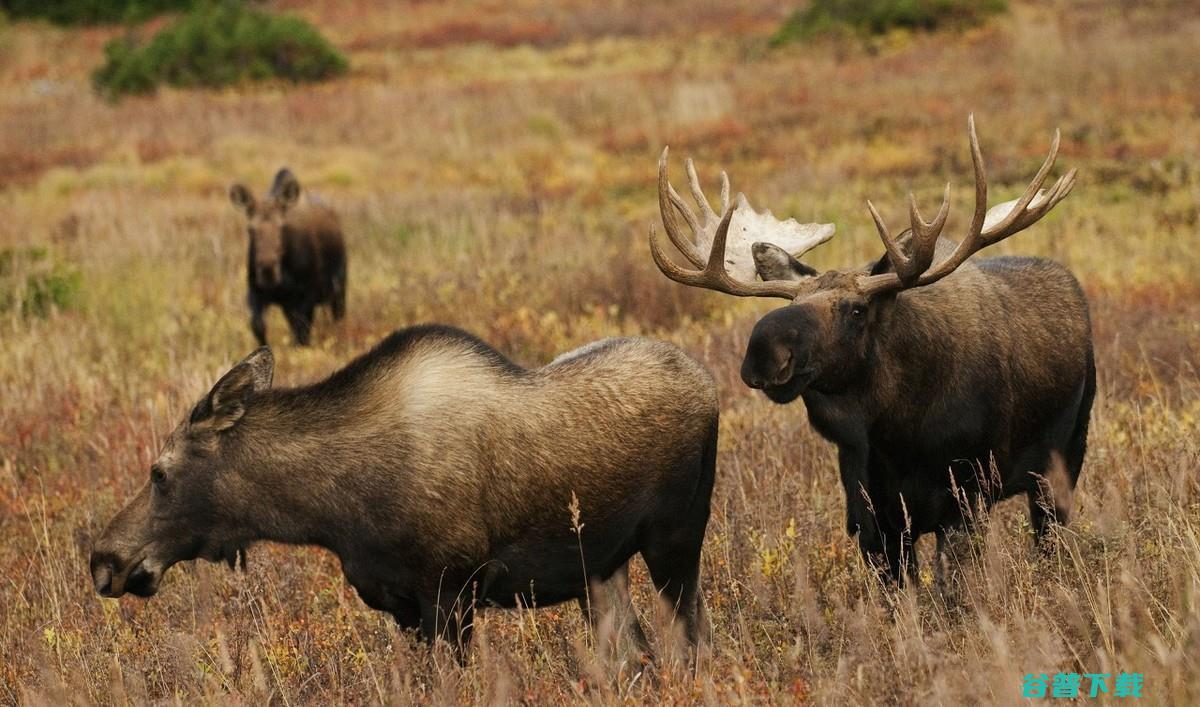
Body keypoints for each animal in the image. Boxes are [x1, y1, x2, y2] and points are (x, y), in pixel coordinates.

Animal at [91, 326, 720, 657]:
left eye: (159, 472)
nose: (104, 559)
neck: (332, 512)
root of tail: (708, 383)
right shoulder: (402, 605)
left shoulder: (452, 592)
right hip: (603, 567)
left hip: (676, 541)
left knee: (690, 643)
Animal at [229, 170, 345, 348]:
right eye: (250, 229)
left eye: (282, 227)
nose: (267, 268)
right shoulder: (256, 293)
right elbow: (258, 326)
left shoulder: (308, 294)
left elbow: (302, 333)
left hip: (339, 287)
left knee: (336, 317)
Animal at [652, 117, 1094, 583]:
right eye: (793, 301)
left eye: (857, 309)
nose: (765, 354)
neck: (896, 435)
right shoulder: (871, 519)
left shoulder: (965, 499)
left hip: (1063, 459)